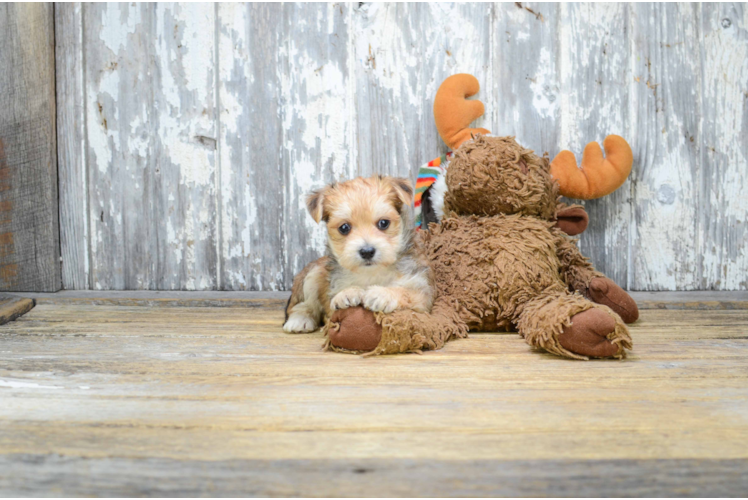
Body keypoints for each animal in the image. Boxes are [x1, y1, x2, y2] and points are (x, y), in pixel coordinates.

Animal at [282, 174, 436, 334]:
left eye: (383, 223)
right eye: (344, 228)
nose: (367, 252)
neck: (371, 272)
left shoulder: (422, 295)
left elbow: (406, 292)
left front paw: (382, 294)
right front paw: (348, 293)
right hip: (313, 274)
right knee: (301, 305)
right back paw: (299, 320)